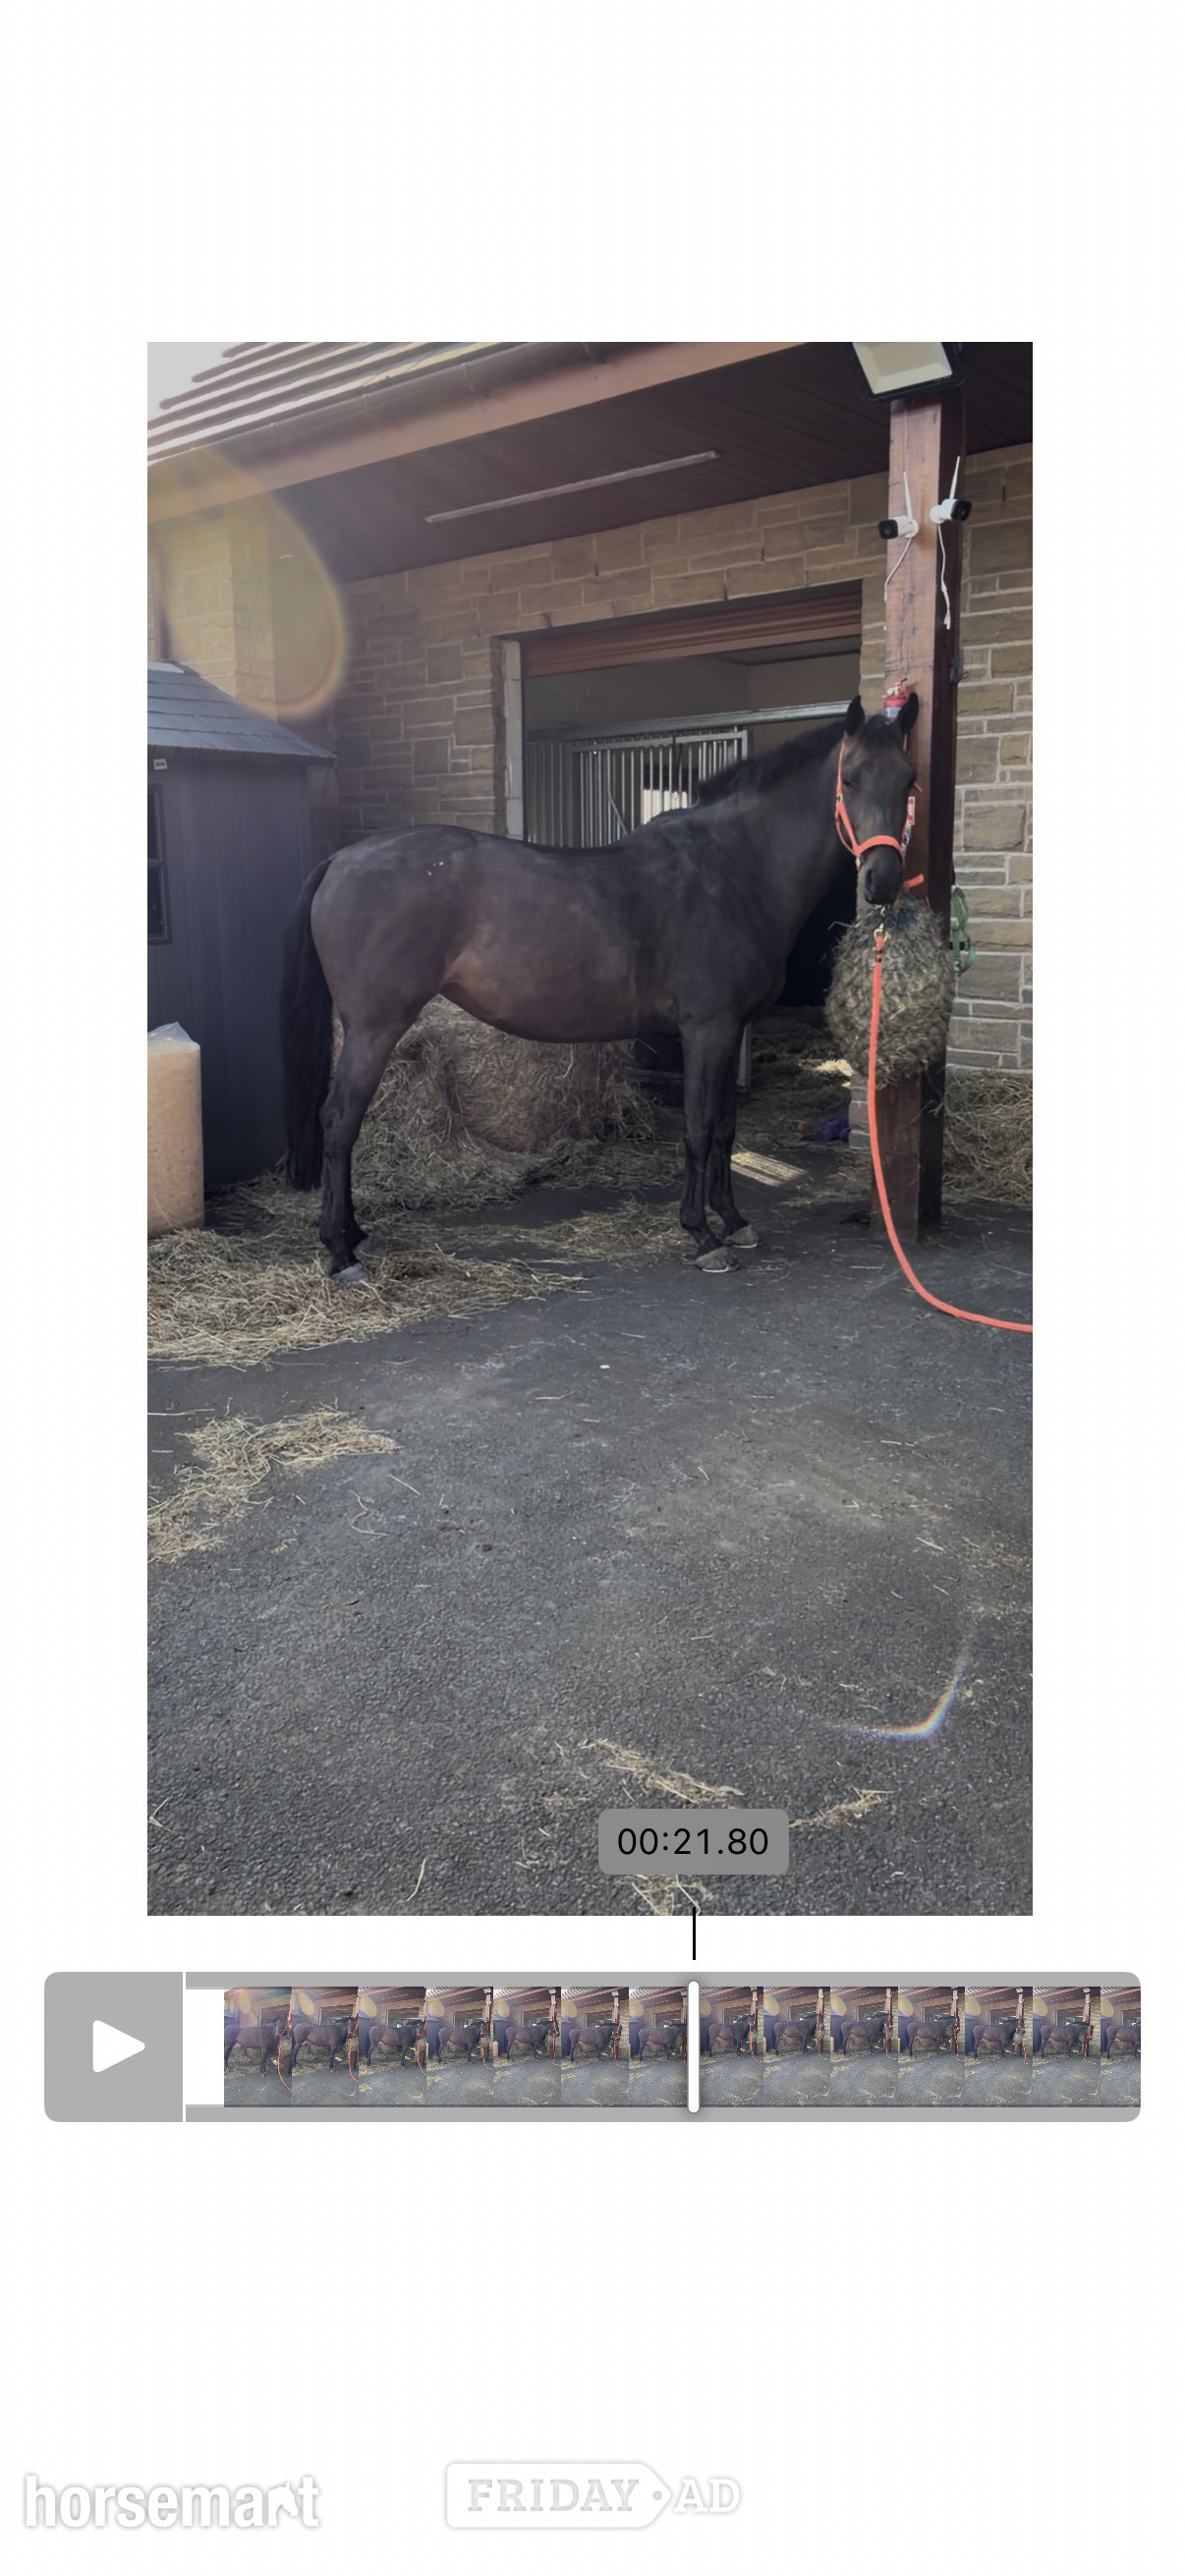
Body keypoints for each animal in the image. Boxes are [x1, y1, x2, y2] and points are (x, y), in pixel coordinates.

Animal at [280, 693, 919, 1276]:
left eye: (909, 780)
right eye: (851, 779)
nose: (882, 880)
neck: (734, 870)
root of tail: (340, 862)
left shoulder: (733, 1029)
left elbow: (725, 1129)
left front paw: (734, 1221)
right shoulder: (707, 1030)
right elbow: (697, 1129)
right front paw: (702, 1235)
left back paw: (355, 1236)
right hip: (374, 1027)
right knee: (339, 1121)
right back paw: (340, 1250)